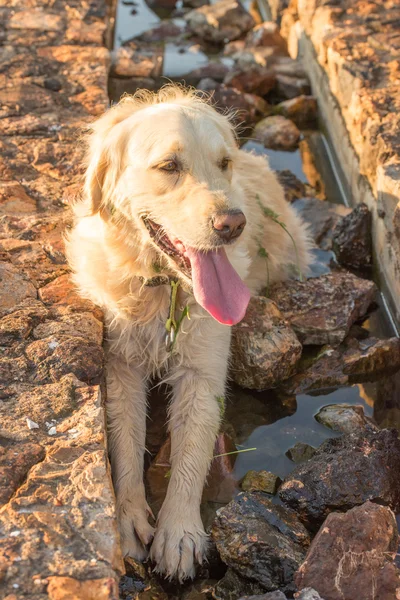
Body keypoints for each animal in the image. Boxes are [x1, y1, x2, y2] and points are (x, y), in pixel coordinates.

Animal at [65, 85, 310, 580]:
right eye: (169, 166)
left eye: (224, 163)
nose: (232, 224)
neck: (167, 290)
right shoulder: (120, 365)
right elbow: (125, 443)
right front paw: (130, 518)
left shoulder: (203, 374)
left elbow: (192, 454)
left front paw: (179, 533)